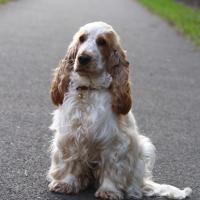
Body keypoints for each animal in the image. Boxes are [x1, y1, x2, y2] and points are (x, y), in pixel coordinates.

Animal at [47, 21, 192, 200]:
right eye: (81, 39)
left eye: (102, 42)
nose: (83, 58)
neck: (90, 89)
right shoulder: (70, 136)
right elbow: (69, 163)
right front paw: (65, 184)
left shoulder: (116, 143)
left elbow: (112, 169)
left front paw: (109, 191)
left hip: (142, 149)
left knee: (134, 184)